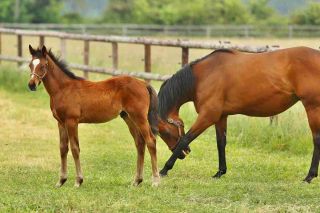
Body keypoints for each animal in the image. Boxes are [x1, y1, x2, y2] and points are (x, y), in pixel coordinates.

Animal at [27, 45, 160, 186]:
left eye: (43, 66)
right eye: (30, 65)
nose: (31, 85)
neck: (63, 89)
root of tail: (143, 84)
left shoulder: (71, 121)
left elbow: (75, 148)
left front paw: (78, 181)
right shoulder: (61, 122)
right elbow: (63, 148)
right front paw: (61, 181)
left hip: (140, 117)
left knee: (150, 141)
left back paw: (156, 181)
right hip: (128, 117)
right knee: (140, 143)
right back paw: (136, 181)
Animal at [159, 47, 320, 183]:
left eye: (164, 132)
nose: (184, 153)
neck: (204, 75)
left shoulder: (208, 116)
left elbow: (186, 138)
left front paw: (165, 169)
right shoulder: (221, 117)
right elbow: (220, 143)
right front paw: (220, 172)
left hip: (313, 108)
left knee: (316, 140)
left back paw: (309, 176)